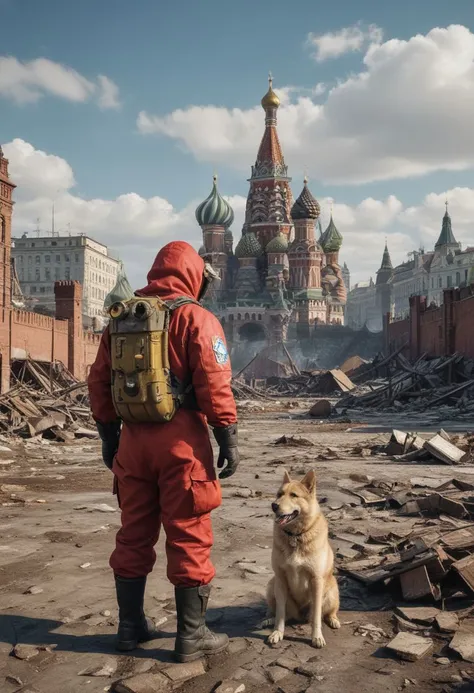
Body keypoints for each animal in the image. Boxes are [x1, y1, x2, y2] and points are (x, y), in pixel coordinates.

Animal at [264, 468, 338, 648]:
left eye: (294, 495)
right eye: (279, 494)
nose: (274, 505)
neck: (296, 535)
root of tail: (300, 616)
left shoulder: (316, 580)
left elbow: (317, 615)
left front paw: (317, 636)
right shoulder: (280, 578)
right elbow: (280, 614)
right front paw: (278, 632)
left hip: (332, 591)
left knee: (328, 612)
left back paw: (333, 620)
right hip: (271, 585)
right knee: (277, 611)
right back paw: (268, 619)